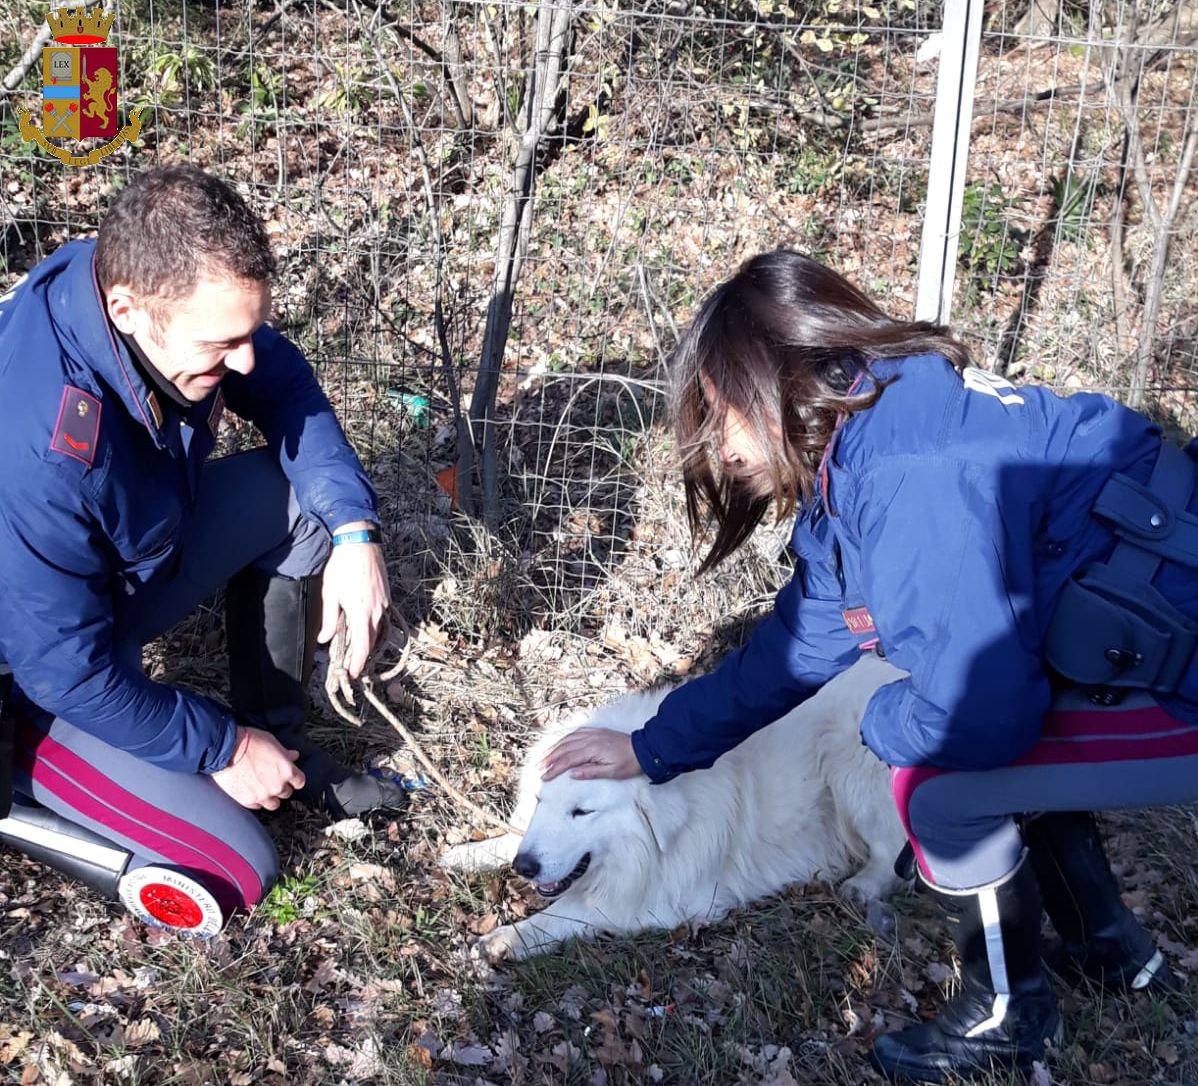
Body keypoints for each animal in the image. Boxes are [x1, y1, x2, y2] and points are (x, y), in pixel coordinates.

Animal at [443, 656, 905, 957]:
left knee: (891, 853)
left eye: (582, 812)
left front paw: (506, 940)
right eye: (540, 802)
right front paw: (468, 853)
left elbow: (567, 912)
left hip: (851, 760)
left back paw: (864, 886)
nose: (525, 868)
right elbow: (513, 840)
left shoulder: (659, 900)